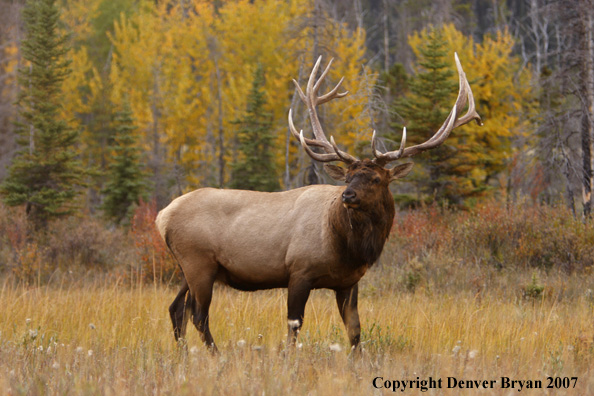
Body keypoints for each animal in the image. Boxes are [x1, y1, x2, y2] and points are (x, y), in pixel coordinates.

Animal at [155, 53, 478, 352]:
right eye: (348, 176)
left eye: (376, 179)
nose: (348, 195)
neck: (347, 245)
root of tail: (162, 216)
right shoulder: (299, 270)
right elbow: (294, 325)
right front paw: (287, 359)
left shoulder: (349, 281)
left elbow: (354, 329)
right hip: (198, 262)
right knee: (198, 315)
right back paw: (216, 355)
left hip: (187, 268)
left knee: (176, 309)